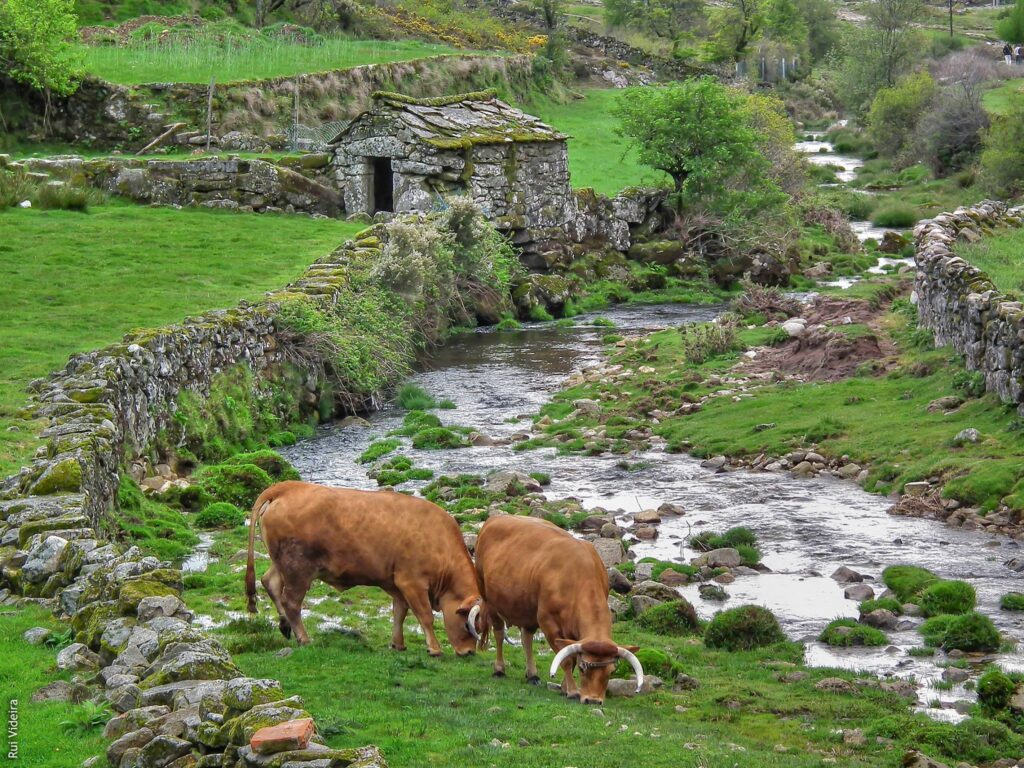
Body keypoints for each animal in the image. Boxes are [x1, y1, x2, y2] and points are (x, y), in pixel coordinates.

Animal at [249, 481, 485, 655]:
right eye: (468, 626)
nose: (469, 652)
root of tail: (288, 487)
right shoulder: (412, 582)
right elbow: (424, 615)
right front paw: (434, 648)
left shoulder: (396, 584)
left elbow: (399, 612)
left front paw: (398, 643)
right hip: (298, 570)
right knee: (291, 602)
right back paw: (304, 638)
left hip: (282, 564)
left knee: (270, 582)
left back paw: (285, 626)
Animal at [475, 514, 643, 708]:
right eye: (583, 668)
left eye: (611, 670)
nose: (593, 700)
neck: (577, 577)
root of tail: (495, 517)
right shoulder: (548, 622)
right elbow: (567, 659)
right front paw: (572, 690)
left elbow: (570, 655)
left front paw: (564, 687)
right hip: (489, 600)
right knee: (499, 634)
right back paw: (499, 669)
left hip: (528, 609)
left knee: (526, 638)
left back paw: (532, 674)